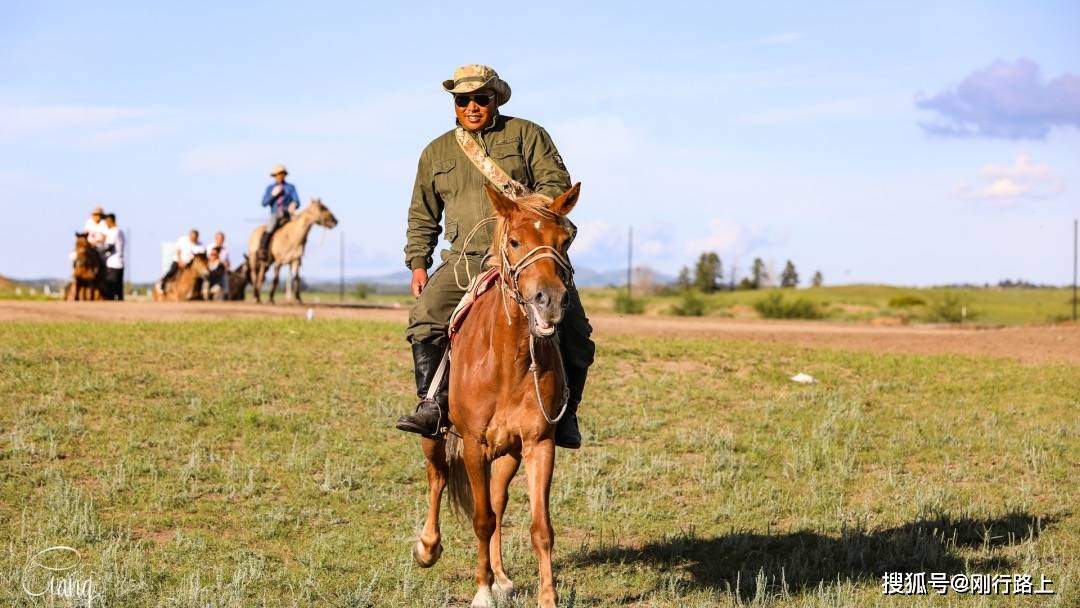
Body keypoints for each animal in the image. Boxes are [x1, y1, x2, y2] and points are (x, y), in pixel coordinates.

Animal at [414, 182, 583, 608]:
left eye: (565, 240)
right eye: (515, 241)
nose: (549, 300)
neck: (509, 362)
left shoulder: (539, 444)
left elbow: (540, 528)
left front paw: (545, 597)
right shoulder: (474, 445)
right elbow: (480, 518)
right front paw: (482, 591)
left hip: (508, 453)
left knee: (497, 498)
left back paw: (502, 577)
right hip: (433, 436)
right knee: (438, 478)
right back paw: (428, 548)